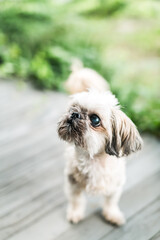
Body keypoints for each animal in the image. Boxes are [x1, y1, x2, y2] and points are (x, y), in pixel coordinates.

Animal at [57, 64, 142, 226]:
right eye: (73, 108)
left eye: (95, 120)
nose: (74, 114)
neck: (94, 160)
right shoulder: (72, 182)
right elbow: (76, 200)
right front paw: (75, 213)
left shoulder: (116, 185)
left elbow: (111, 202)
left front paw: (112, 214)